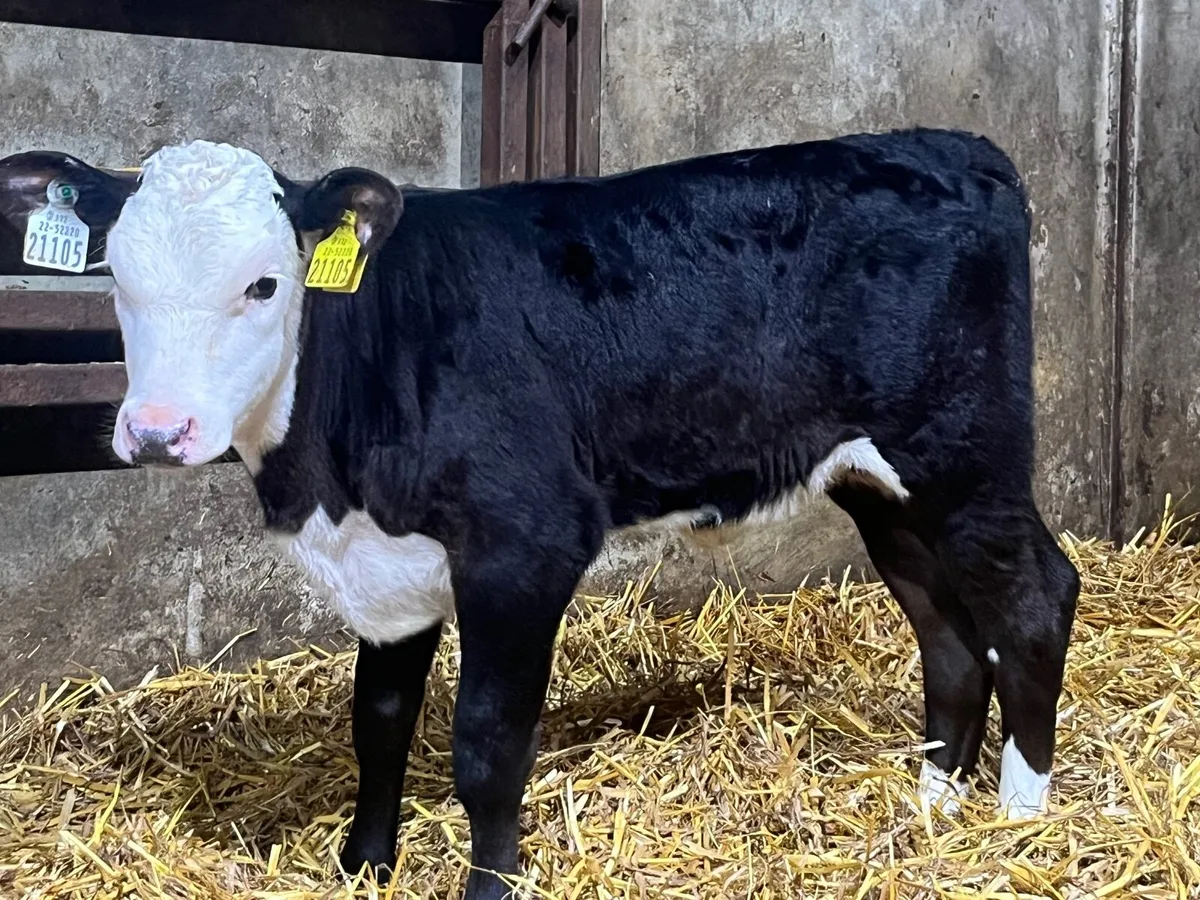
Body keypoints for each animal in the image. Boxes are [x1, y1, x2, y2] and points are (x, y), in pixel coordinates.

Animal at [0, 129, 1079, 899]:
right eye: (117, 279)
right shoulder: (388, 561)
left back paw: (1022, 822)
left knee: (1035, 597)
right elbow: (377, 722)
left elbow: (487, 745)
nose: (157, 430)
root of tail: (954, 145)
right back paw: (933, 808)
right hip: (881, 484)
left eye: (265, 284)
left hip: (965, 451)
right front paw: (364, 867)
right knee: (947, 634)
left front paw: (489, 884)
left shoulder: (523, 545)